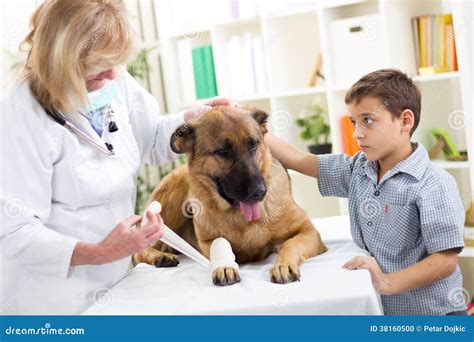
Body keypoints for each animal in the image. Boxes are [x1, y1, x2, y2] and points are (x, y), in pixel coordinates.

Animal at [133, 105, 326, 284]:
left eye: (253, 144)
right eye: (223, 151)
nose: (259, 192)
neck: (240, 217)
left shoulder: (308, 232)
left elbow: (289, 244)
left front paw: (283, 265)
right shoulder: (208, 241)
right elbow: (222, 246)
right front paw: (224, 266)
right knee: (139, 251)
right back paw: (160, 256)